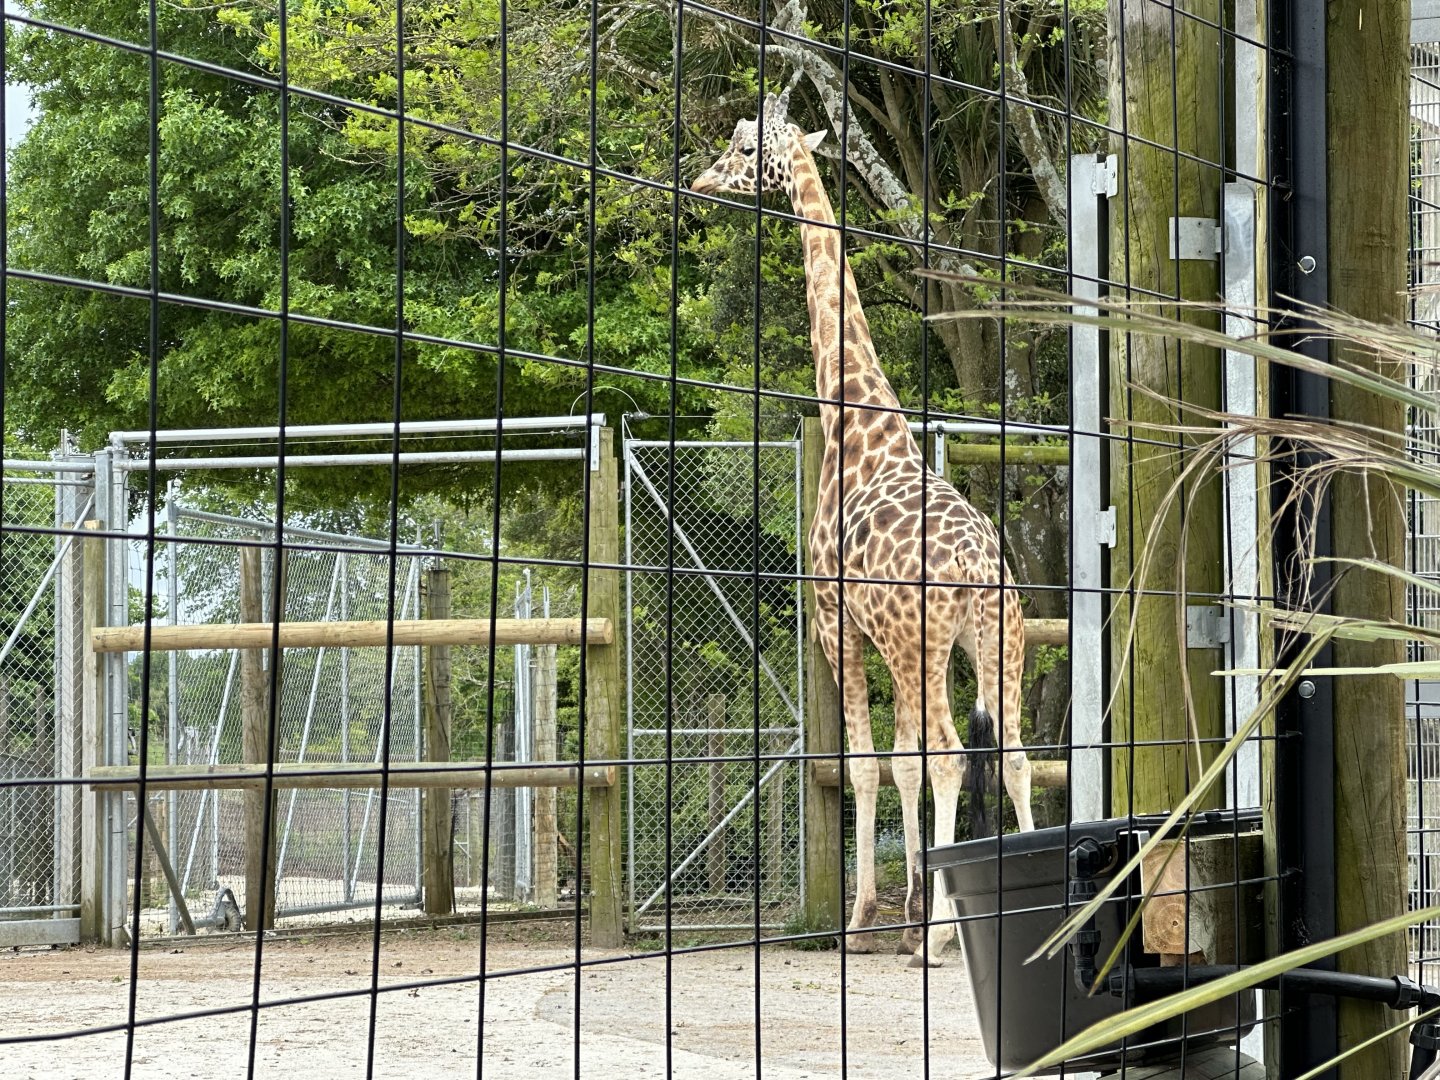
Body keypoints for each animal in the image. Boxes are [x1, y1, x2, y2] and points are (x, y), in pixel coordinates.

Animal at [691, 92, 1035, 965]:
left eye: (741, 143)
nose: (704, 178)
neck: (858, 427)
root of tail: (979, 569)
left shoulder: (834, 623)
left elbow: (869, 765)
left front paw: (870, 918)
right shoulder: (886, 638)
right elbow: (901, 763)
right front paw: (912, 901)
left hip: (925, 643)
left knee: (949, 755)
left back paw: (939, 940)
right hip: (998, 639)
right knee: (1016, 755)